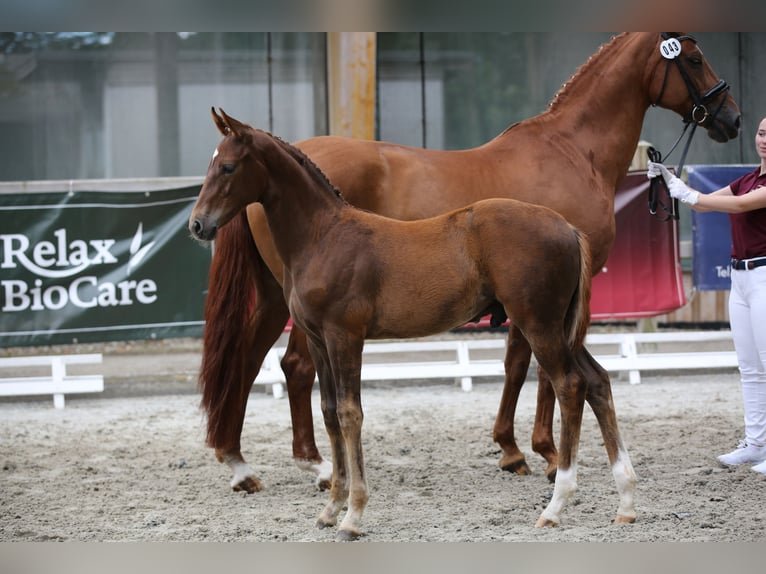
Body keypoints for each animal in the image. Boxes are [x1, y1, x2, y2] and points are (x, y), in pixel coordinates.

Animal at [190, 113, 636, 540]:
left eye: (227, 166)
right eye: (209, 165)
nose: (197, 225)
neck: (324, 237)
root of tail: (568, 228)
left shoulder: (345, 337)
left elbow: (350, 414)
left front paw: (353, 515)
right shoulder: (319, 340)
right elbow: (330, 412)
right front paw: (330, 509)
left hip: (537, 323)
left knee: (570, 385)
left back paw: (556, 506)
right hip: (557, 327)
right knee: (597, 381)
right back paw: (625, 502)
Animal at [201, 31, 740, 492]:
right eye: (694, 59)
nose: (731, 117)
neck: (570, 151)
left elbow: (517, 363)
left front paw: (515, 448)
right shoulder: (547, 303)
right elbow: (533, 367)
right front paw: (539, 453)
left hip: (276, 297)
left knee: (250, 358)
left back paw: (240, 462)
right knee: (293, 366)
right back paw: (313, 464)